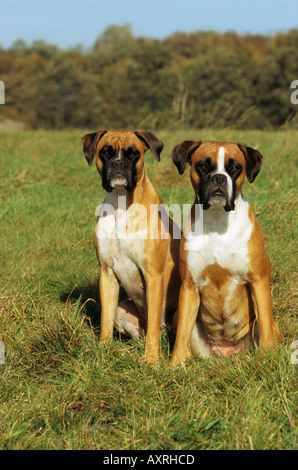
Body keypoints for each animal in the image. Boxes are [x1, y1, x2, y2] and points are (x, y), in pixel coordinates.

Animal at [81, 130, 182, 366]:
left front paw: (152, 359)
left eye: (133, 153)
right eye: (105, 152)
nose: (118, 163)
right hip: (123, 311)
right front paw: (103, 351)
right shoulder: (107, 274)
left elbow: (153, 325)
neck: (121, 204)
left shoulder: (153, 275)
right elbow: (105, 320)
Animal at [170, 138, 280, 366]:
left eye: (235, 167)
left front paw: (268, 359)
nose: (219, 177)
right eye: (203, 165)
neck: (217, 220)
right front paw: (175, 365)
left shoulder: (258, 281)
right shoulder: (189, 286)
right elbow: (182, 334)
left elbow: (265, 327)